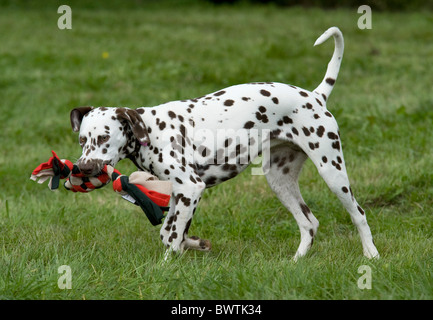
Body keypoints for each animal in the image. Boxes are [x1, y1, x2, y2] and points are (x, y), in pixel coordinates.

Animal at [70, 27, 378, 262]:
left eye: (103, 138)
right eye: (82, 140)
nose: (83, 168)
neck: (151, 130)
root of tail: (315, 96)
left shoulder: (191, 188)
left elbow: (172, 236)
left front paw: (166, 265)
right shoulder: (180, 194)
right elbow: (171, 232)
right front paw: (195, 244)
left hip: (332, 173)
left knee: (359, 214)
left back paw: (371, 255)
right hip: (280, 181)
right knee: (309, 223)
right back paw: (296, 262)